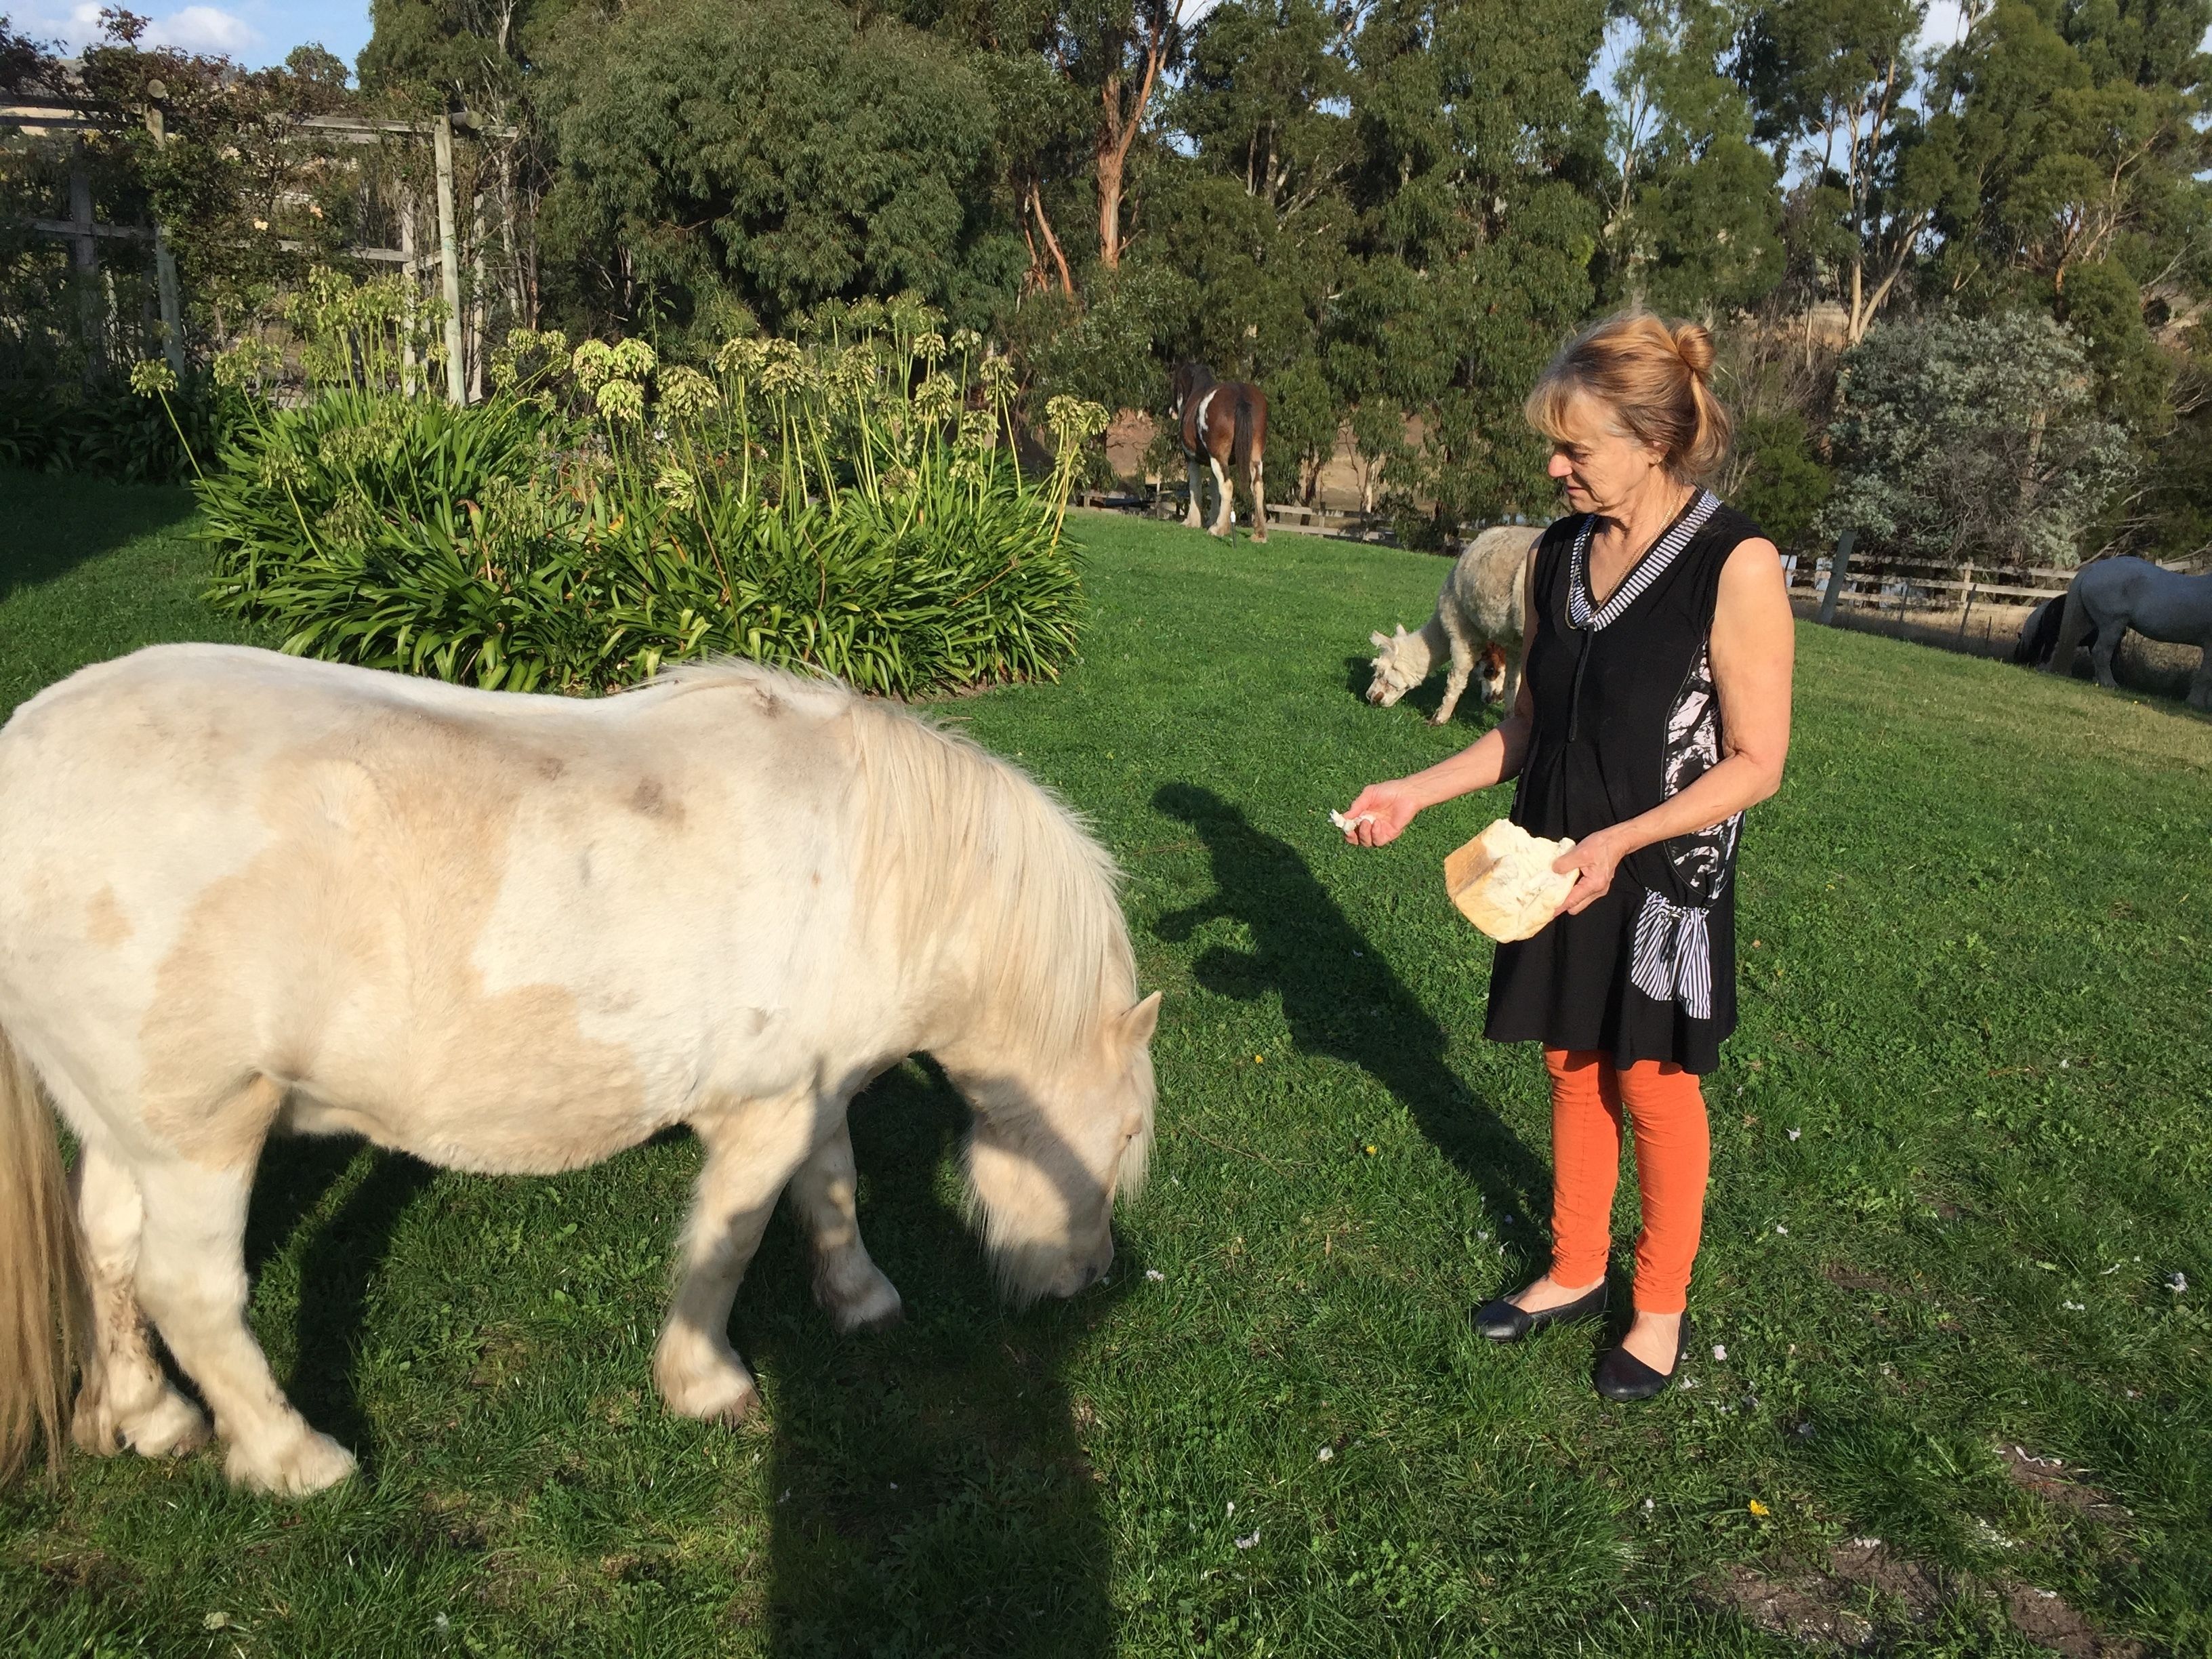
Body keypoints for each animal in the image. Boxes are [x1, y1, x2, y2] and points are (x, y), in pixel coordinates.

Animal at [0, 645, 1159, 1494]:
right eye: (1119, 1143)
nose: (1088, 1281)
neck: (884, 869)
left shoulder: (813, 1089)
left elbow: (830, 1191)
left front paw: (863, 1300)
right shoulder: (767, 1107)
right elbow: (732, 1240)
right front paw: (704, 1381)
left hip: (131, 1123)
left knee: (106, 1246)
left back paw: (149, 1416)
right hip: (202, 1132)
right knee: (188, 1288)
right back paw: (297, 1458)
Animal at [1169, 361, 1268, 543]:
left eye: (1174, 382)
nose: (1172, 411)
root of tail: (1240, 395)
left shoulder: (1191, 459)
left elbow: (1195, 487)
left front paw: (1193, 521)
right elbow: (1214, 489)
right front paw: (1212, 519)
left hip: (1218, 458)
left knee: (1227, 485)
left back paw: (1219, 529)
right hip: (1254, 457)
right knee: (1257, 486)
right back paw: (1259, 533)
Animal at [1367, 525, 1543, 723]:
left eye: (1380, 672)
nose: (1370, 696)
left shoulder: (1461, 630)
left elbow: (1457, 677)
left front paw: (1438, 718)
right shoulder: (1514, 644)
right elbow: (1512, 684)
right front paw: (1511, 717)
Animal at [2046, 557, 2212, 709]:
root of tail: (2095, 568)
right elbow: (2205, 675)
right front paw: (2195, 703)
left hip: (2087, 623)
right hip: (2112, 625)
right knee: (2101, 652)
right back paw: (2109, 684)